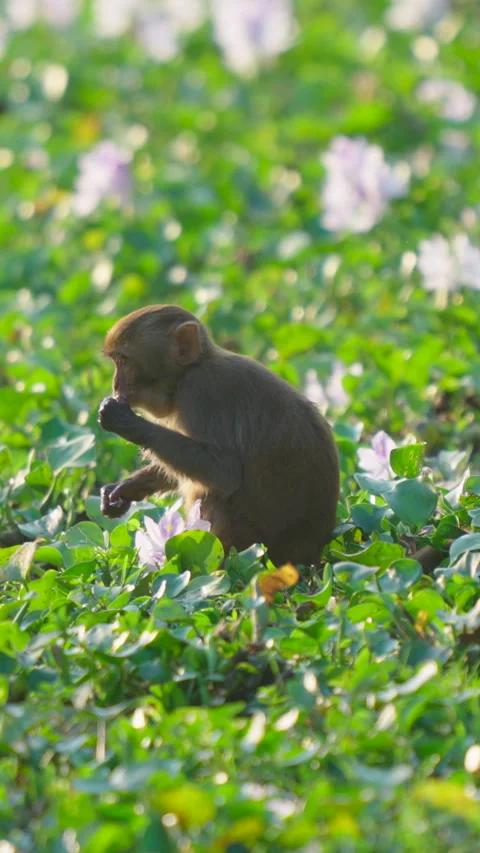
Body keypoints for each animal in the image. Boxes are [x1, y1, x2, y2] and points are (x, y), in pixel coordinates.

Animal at [97, 304, 340, 568]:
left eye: (123, 360)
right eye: (116, 361)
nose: (115, 384)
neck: (192, 369)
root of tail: (310, 554)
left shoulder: (200, 392)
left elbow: (224, 473)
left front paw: (127, 422)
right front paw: (126, 489)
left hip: (254, 542)